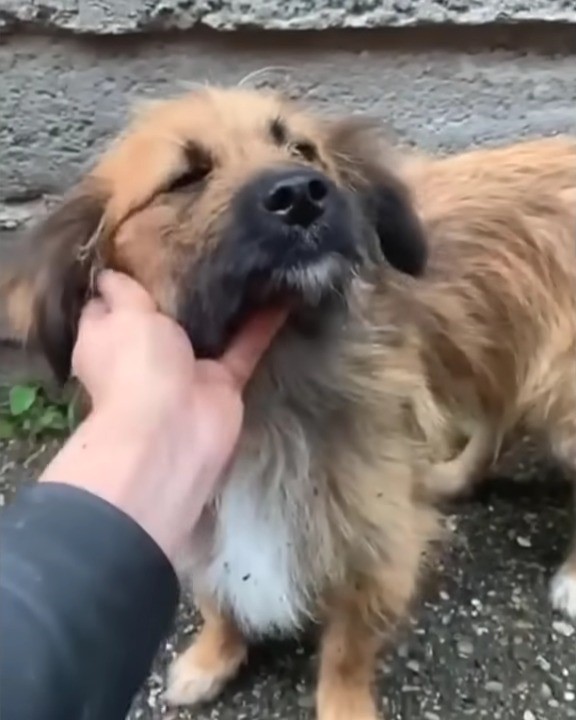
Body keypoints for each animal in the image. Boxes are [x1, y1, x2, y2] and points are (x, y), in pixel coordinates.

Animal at [3, 87, 576, 716]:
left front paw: (344, 706)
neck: (271, 387)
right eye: (186, 177)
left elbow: (348, 648)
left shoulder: (375, 543)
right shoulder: (203, 518)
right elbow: (220, 598)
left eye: (301, 149)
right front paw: (212, 657)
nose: (302, 193)